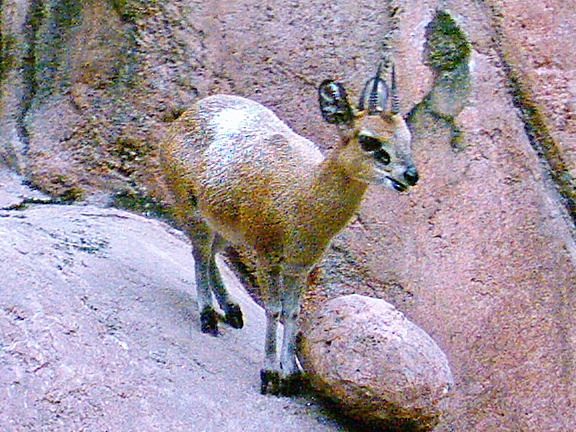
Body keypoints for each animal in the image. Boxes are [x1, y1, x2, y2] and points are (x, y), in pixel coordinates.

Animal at [162, 65, 418, 394]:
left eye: (406, 137)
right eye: (369, 140)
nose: (410, 175)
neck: (303, 196)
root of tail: (185, 115)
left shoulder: (300, 266)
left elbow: (292, 312)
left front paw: (292, 374)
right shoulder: (267, 256)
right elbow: (273, 309)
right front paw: (270, 373)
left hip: (224, 228)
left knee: (210, 256)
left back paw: (232, 311)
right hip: (193, 211)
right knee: (199, 254)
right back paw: (208, 317)